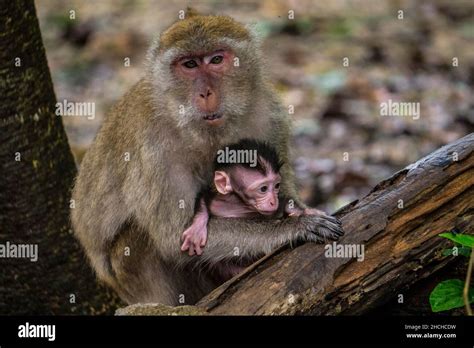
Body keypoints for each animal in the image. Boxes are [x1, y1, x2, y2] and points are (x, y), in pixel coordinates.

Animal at [181, 139, 326, 256]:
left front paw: (306, 212)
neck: (240, 204)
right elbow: (204, 197)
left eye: (276, 186)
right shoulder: (218, 200)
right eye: (263, 189)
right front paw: (197, 229)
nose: (273, 201)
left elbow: (285, 203)